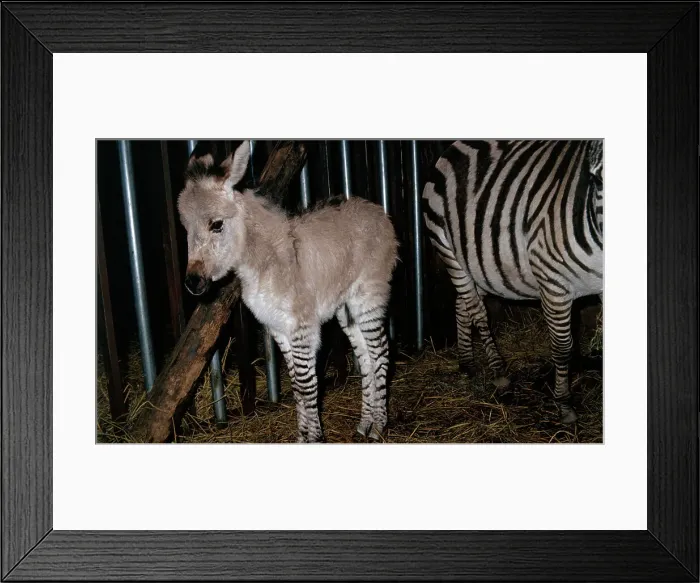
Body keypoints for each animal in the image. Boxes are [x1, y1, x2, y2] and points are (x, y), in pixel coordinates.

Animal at [178, 141, 399, 442]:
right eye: (186, 229)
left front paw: (314, 439)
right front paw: (302, 437)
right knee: (365, 357)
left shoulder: (302, 329)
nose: (193, 283)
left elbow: (307, 386)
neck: (262, 263)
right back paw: (365, 424)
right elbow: (296, 385)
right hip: (346, 308)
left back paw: (378, 426)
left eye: (217, 225)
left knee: (380, 354)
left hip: (368, 298)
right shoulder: (278, 329)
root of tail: (374, 209)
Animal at [422, 140, 603, 423]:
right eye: (597, 179)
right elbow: (563, 348)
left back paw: (466, 364)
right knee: (477, 311)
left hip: (480, 264)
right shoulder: (552, 281)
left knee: (463, 304)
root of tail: (457, 144)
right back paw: (499, 375)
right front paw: (564, 406)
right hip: (448, 250)